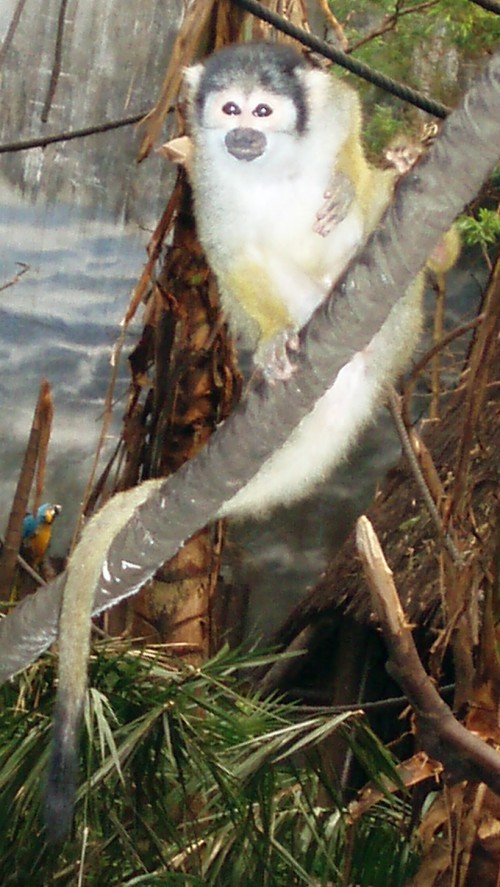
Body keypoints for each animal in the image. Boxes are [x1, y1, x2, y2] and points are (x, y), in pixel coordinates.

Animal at [44, 42, 459, 841]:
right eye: (230, 109)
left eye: (264, 111)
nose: (244, 135)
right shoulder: (203, 173)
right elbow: (228, 245)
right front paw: (268, 342)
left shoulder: (325, 113)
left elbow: (345, 116)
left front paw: (354, 182)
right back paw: (282, 343)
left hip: (397, 316)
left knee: (390, 235)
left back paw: (411, 217)